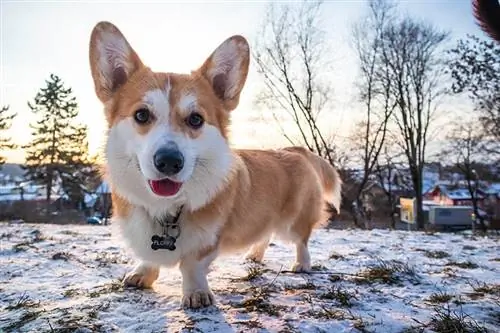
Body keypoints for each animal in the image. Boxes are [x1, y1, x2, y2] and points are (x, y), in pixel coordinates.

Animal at [88, 21, 342, 308]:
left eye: (196, 119)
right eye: (141, 115)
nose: (169, 162)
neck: (166, 208)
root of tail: (294, 150)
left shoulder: (207, 240)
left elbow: (192, 266)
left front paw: (196, 293)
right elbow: (149, 257)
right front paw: (143, 273)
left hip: (294, 221)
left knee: (302, 239)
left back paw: (302, 264)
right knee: (265, 234)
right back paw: (254, 255)